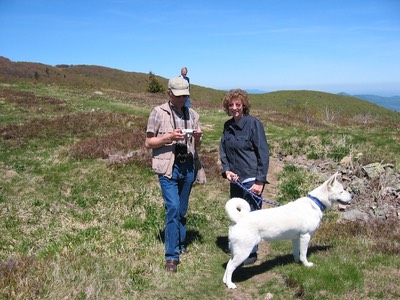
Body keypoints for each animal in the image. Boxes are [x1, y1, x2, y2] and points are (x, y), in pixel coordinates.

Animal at [223, 173, 352, 288]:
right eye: (341, 191)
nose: (352, 197)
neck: (316, 202)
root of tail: (240, 219)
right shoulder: (305, 236)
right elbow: (304, 254)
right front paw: (306, 264)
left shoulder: (296, 238)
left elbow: (296, 252)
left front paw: (297, 262)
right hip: (243, 251)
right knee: (230, 267)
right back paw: (230, 284)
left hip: (236, 251)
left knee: (228, 264)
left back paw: (225, 281)